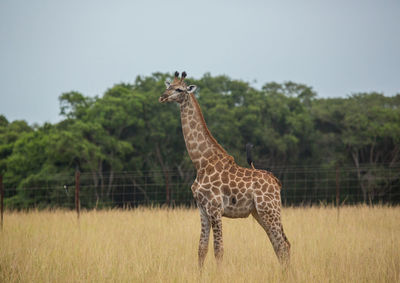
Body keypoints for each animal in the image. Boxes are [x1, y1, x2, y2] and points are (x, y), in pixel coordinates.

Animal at [158, 71, 290, 268]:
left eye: (180, 89)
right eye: (168, 86)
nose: (162, 97)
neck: (201, 162)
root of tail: (276, 182)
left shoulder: (215, 208)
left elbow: (218, 250)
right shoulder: (202, 209)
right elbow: (201, 249)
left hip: (269, 209)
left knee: (283, 244)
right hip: (260, 212)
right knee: (279, 244)